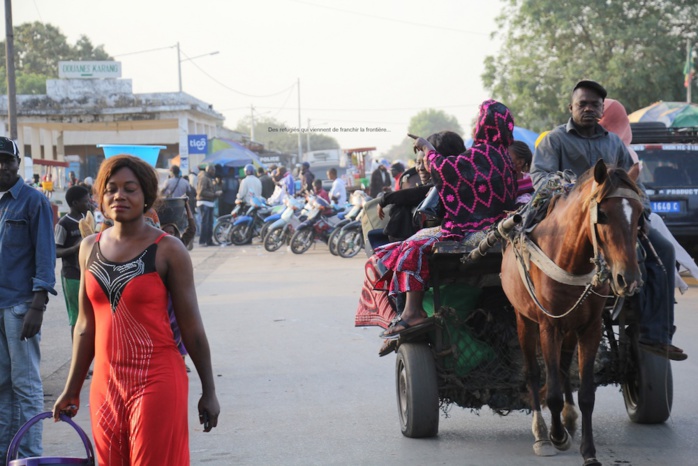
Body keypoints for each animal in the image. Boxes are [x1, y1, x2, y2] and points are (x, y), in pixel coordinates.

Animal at [500, 161, 640, 466]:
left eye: (638, 214)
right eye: (603, 215)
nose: (628, 279)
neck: (571, 259)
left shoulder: (590, 328)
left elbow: (586, 393)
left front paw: (589, 452)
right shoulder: (548, 326)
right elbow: (550, 390)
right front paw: (556, 436)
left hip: (570, 329)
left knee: (563, 368)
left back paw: (569, 417)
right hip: (525, 321)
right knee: (534, 373)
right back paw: (542, 433)